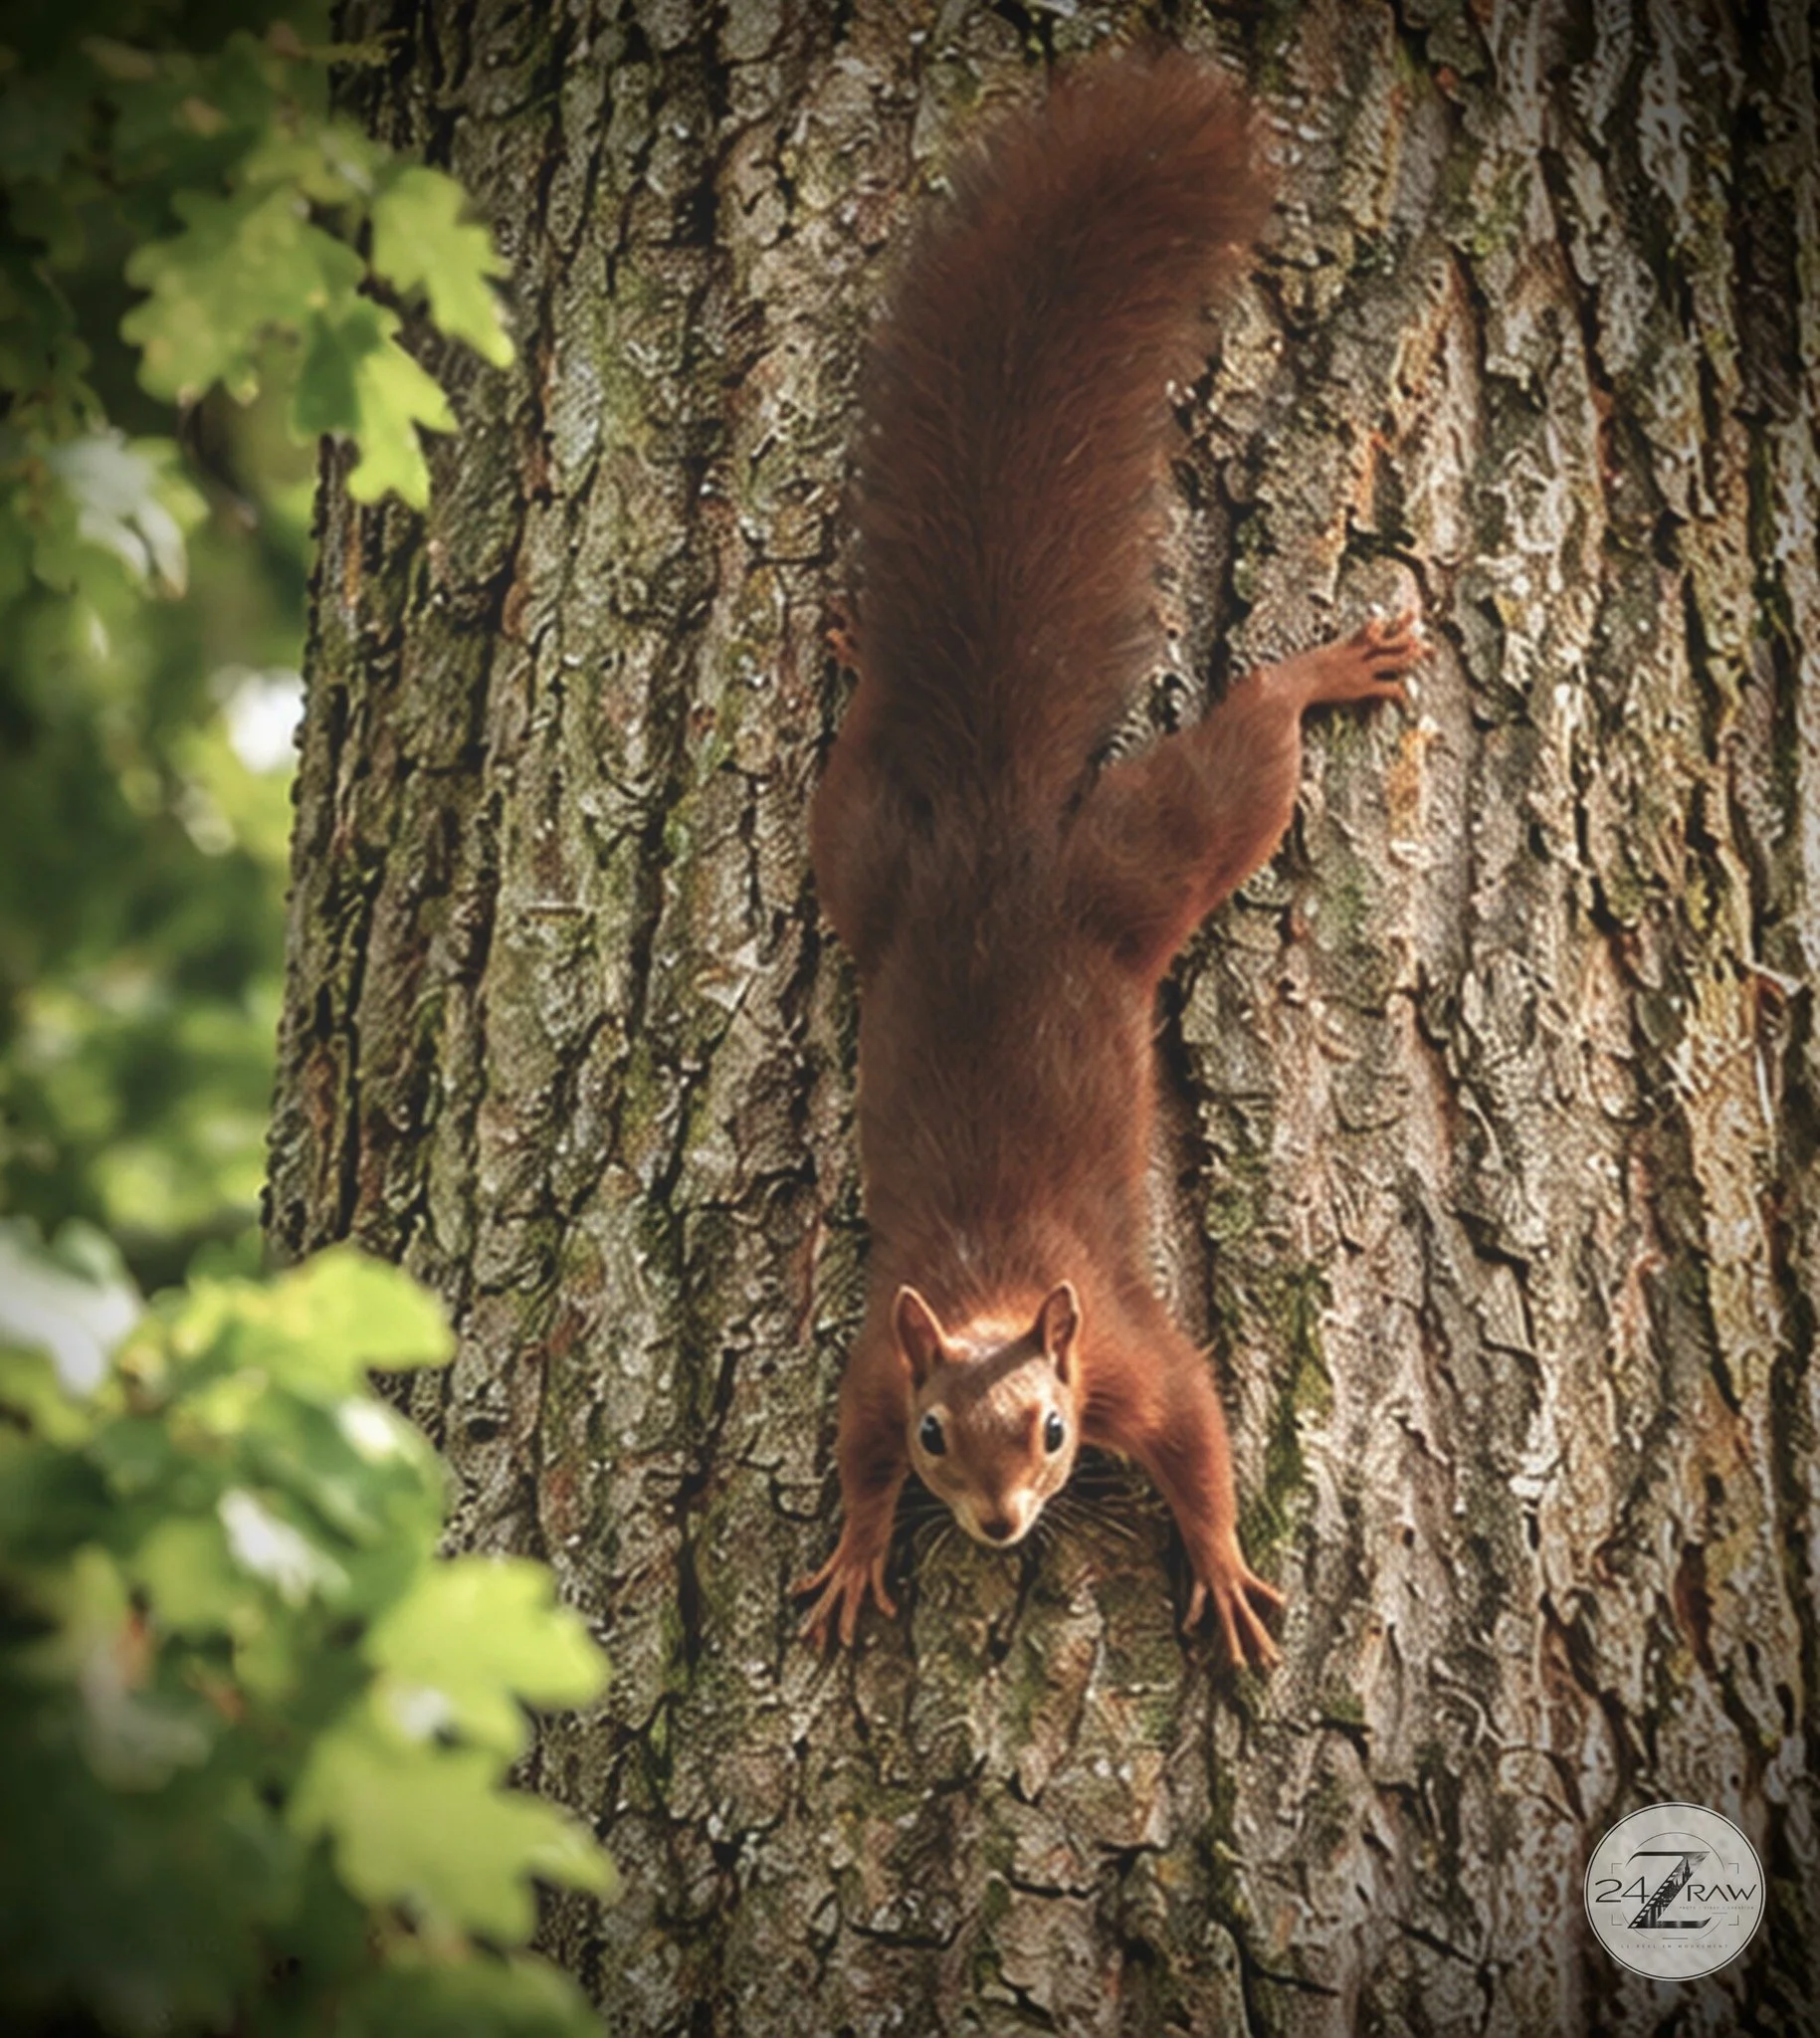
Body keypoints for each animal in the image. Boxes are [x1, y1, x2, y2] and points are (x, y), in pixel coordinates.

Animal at [793, 53, 1427, 1668]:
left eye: (1055, 1430)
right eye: (941, 1436)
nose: (1002, 1524)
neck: (991, 1287)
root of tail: (999, 830)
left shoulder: (1132, 1355)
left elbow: (1201, 1434)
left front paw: (1222, 1565)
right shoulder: (878, 1365)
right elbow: (849, 1451)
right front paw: (856, 1549)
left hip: (1146, 860)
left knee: (1244, 757)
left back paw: (1317, 672)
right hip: (873, 866)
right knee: (853, 776)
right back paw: (858, 665)